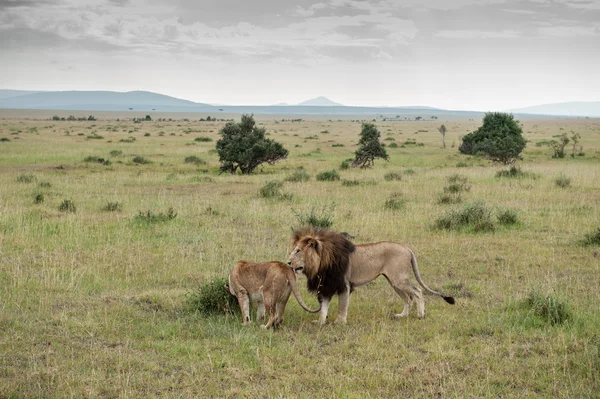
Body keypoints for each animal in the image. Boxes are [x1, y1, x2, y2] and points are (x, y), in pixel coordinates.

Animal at [288, 228, 454, 324]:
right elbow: (324, 308)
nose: (288, 262)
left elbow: (342, 306)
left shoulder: (344, 285)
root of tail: (407, 248)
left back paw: (420, 315)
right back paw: (402, 316)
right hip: (393, 282)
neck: (321, 263)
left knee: (418, 291)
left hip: (399, 279)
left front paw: (340, 322)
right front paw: (321, 322)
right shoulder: (327, 286)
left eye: (298, 251)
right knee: (408, 298)